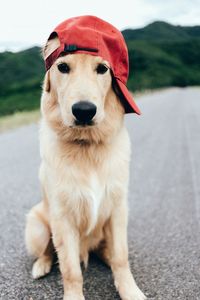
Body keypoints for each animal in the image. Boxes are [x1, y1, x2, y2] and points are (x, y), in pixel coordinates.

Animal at [25, 15, 145, 298]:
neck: (87, 146)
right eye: (63, 67)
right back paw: (41, 265)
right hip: (36, 225)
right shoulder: (62, 219)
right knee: (48, 251)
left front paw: (130, 290)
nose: (83, 111)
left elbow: (121, 257)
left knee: (109, 253)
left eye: (102, 69)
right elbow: (71, 270)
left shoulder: (118, 210)